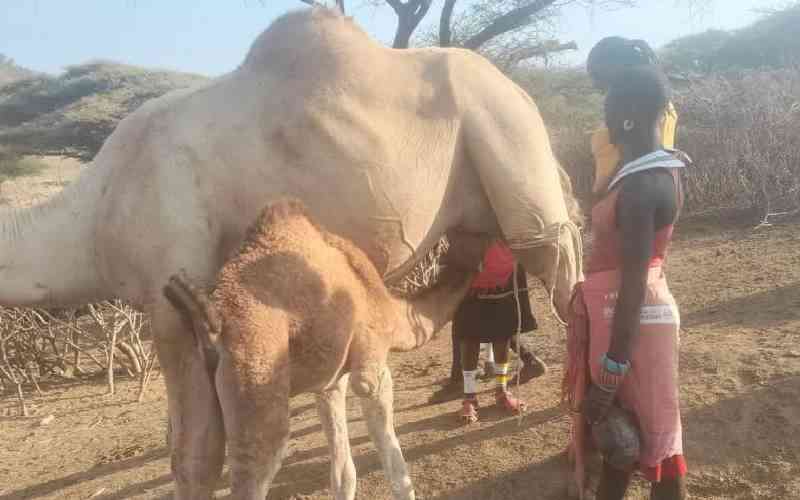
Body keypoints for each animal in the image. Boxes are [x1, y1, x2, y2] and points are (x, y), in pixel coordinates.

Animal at [3, 5, 584, 498]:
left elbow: (194, 457)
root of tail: (522, 90)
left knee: (562, 267)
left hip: (511, 146)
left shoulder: (169, 297)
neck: (93, 215)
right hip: (478, 205)